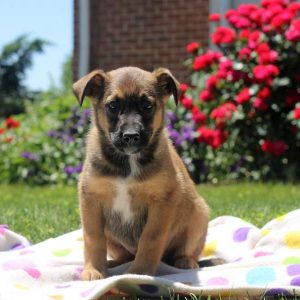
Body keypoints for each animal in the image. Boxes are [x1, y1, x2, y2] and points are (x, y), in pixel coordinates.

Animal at [72, 67, 209, 280]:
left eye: (147, 106)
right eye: (112, 106)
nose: (131, 136)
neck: (128, 162)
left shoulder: (161, 202)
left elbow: (150, 239)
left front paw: (139, 273)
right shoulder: (91, 199)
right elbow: (93, 238)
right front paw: (94, 270)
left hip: (199, 215)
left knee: (185, 251)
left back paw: (185, 261)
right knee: (123, 254)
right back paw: (114, 263)